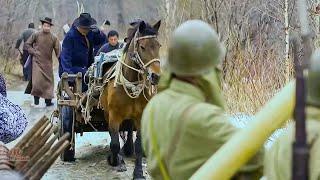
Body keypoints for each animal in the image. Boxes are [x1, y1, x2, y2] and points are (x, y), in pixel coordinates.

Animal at [100, 20, 161, 179]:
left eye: (159, 45)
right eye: (142, 47)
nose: (156, 76)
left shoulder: (140, 117)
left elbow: (139, 145)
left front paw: (138, 172)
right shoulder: (114, 116)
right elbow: (114, 143)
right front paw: (116, 161)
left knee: (127, 129)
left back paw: (128, 148)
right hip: (107, 114)